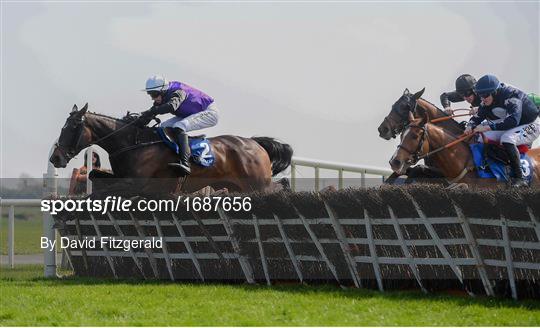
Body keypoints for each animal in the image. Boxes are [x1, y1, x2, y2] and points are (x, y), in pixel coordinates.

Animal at [49, 104, 296, 193]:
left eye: (72, 127)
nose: (55, 158)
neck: (133, 143)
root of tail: (256, 144)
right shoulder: (123, 178)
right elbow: (94, 175)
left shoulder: (137, 183)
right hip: (239, 187)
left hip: (257, 185)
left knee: (279, 186)